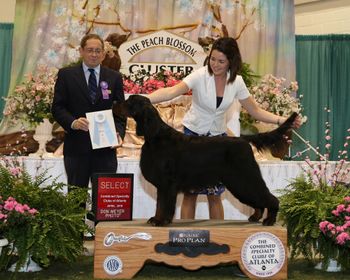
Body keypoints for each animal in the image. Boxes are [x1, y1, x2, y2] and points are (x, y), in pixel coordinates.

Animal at [114, 95, 296, 226]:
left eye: (130, 102)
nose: (115, 102)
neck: (155, 135)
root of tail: (243, 139)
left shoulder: (167, 183)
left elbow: (165, 204)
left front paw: (162, 221)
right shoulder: (162, 185)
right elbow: (159, 204)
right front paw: (156, 218)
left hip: (245, 178)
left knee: (270, 198)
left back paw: (269, 220)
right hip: (240, 183)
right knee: (258, 201)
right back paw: (255, 217)